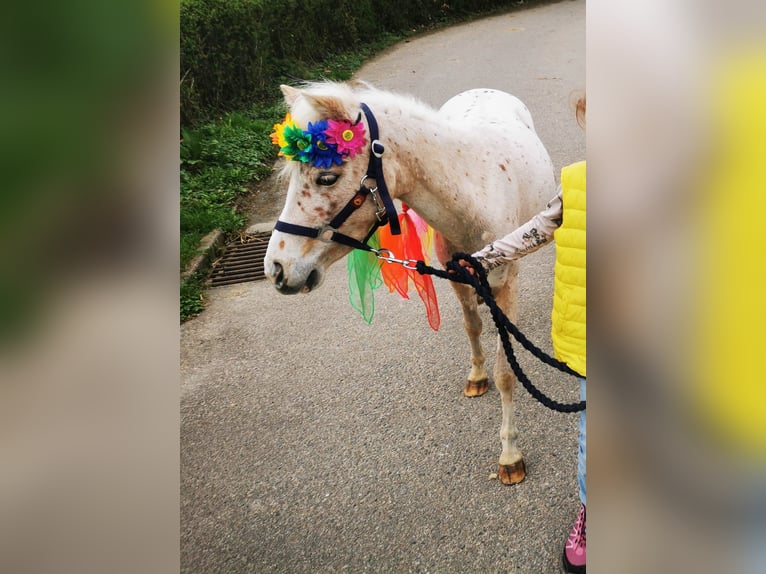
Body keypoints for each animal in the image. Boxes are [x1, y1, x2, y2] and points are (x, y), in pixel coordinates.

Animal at [268, 81, 556, 486]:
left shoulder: (506, 283)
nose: (277, 268)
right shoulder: (456, 274)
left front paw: (510, 455)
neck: (473, 189)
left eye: (327, 177)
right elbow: (472, 327)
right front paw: (476, 374)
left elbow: (506, 373)